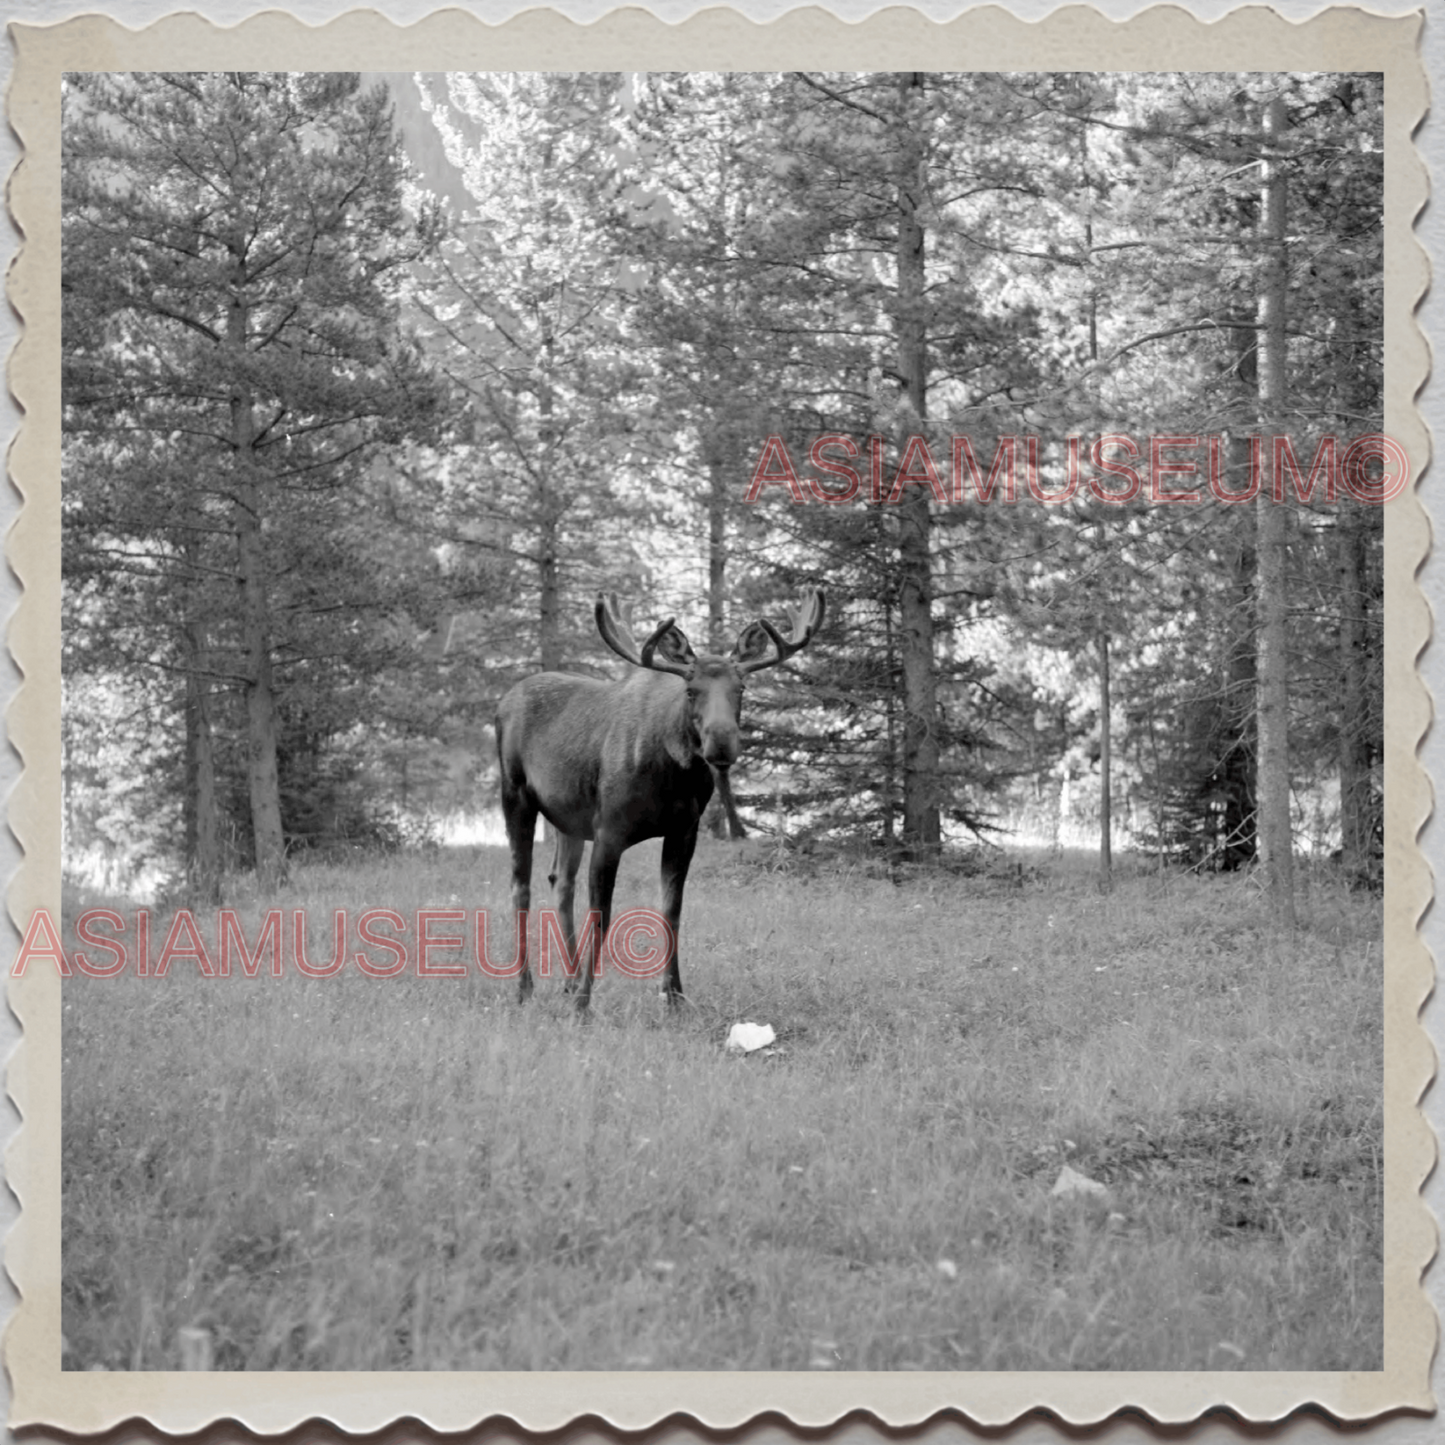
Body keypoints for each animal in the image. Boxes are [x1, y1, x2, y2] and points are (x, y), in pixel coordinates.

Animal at [497, 583, 826, 1005]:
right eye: (690, 690)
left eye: (741, 688)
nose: (722, 743)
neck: (671, 778)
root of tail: (504, 700)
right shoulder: (608, 830)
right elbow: (601, 915)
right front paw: (585, 1003)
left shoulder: (684, 829)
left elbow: (672, 911)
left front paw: (674, 997)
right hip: (515, 794)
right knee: (520, 885)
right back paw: (525, 987)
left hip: (568, 819)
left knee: (560, 882)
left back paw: (567, 981)